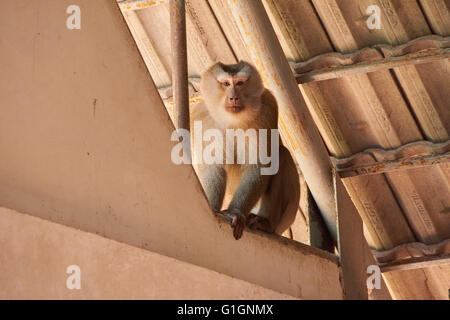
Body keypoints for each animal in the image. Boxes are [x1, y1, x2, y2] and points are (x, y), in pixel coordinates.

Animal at [190, 61, 298, 239]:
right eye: (226, 84)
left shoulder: (266, 107)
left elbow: (260, 165)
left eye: (240, 83)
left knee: (282, 155)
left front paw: (235, 211)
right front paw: (213, 208)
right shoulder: (202, 117)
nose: (233, 97)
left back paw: (266, 223)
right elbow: (213, 167)